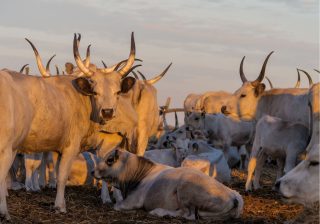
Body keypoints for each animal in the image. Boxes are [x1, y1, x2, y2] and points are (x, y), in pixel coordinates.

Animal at [94, 149, 244, 220]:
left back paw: (159, 212)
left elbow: (117, 206)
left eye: (110, 160)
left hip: (185, 189)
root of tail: (233, 195)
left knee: (187, 214)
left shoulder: (133, 200)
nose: (92, 171)